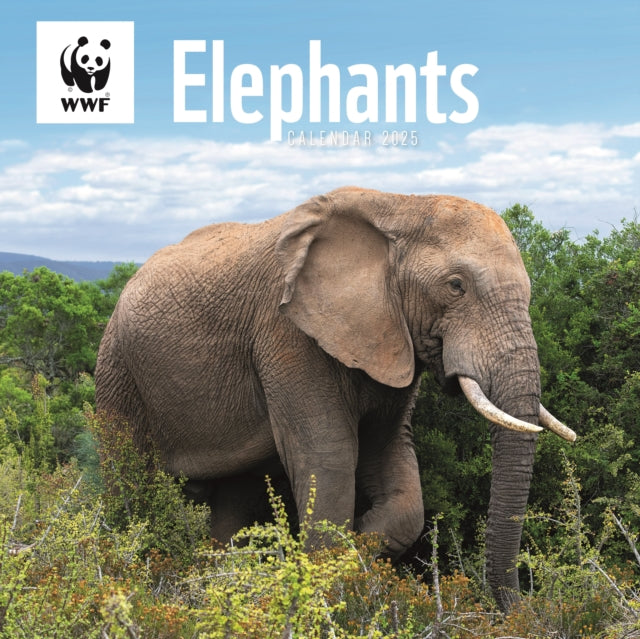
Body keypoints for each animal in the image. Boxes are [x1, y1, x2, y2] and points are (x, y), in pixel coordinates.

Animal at [94, 186, 575, 611]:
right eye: (456, 285)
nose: (518, 609)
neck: (401, 207)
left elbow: (392, 460)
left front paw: (356, 543)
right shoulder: (287, 332)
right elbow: (329, 455)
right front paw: (333, 565)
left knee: (236, 497)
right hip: (116, 366)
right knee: (128, 481)